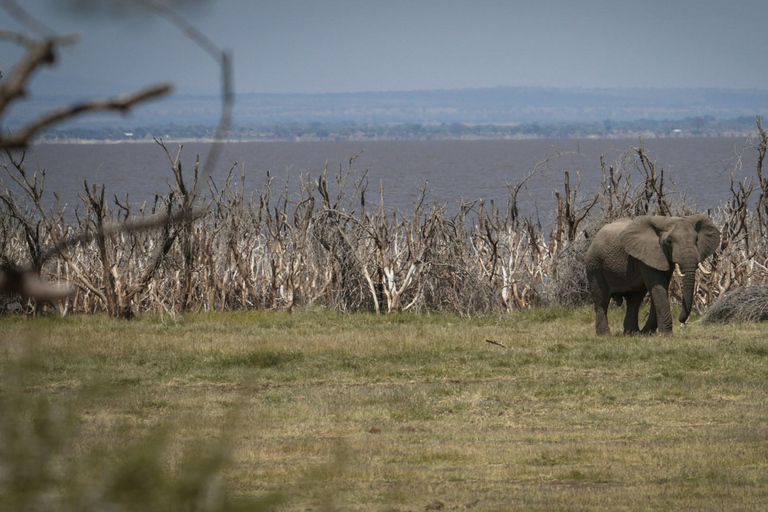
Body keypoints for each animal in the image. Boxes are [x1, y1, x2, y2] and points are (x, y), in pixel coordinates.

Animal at [588, 215, 720, 336]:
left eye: (696, 239)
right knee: (601, 300)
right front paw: (666, 336)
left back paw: (632, 334)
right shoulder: (646, 255)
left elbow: (662, 286)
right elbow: (658, 287)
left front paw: (649, 333)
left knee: (634, 300)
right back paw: (605, 335)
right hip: (595, 266)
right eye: (669, 241)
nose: (681, 321)